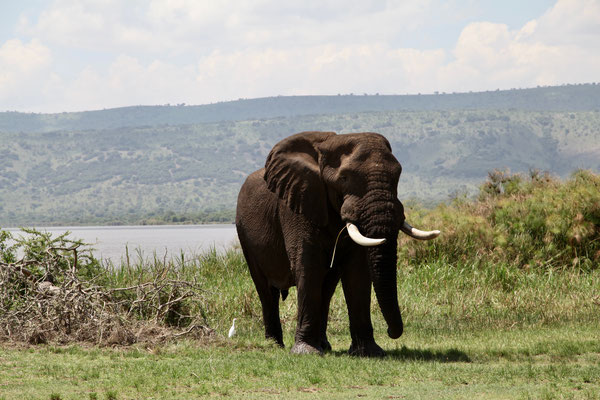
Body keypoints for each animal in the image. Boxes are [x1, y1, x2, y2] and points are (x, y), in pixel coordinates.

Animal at [236, 131, 440, 356]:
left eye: (398, 175)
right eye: (344, 178)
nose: (390, 332)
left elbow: (357, 272)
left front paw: (368, 352)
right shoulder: (298, 202)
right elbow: (308, 267)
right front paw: (306, 352)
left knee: (326, 288)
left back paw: (323, 345)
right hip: (244, 234)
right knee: (265, 290)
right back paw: (275, 345)